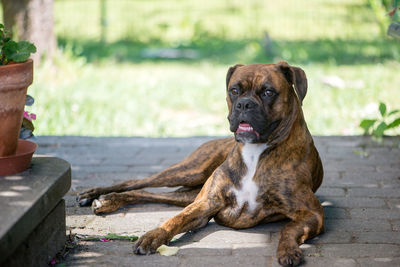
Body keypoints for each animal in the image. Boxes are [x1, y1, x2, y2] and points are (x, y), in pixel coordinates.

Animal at [78, 61, 324, 266]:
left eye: (268, 92)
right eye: (234, 90)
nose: (244, 104)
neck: (256, 152)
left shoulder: (312, 213)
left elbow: (288, 230)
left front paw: (288, 250)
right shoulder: (206, 204)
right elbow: (175, 219)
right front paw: (153, 236)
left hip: (188, 192)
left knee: (147, 193)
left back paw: (107, 200)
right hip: (190, 171)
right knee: (136, 182)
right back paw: (97, 195)